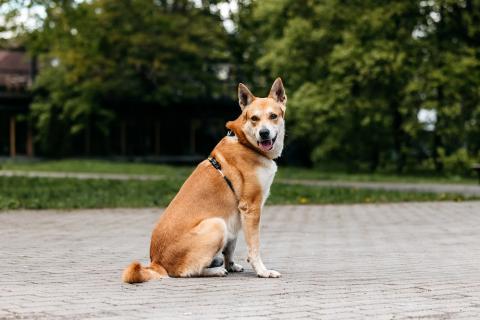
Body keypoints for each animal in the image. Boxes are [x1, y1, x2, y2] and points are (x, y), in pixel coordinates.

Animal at [124, 77, 286, 282]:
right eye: (254, 118)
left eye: (273, 116)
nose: (264, 133)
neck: (245, 143)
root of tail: (157, 262)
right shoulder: (251, 208)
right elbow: (254, 247)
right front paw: (262, 271)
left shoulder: (236, 215)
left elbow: (231, 247)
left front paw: (232, 265)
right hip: (217, 224)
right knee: (187, 271)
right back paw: (215, 270)